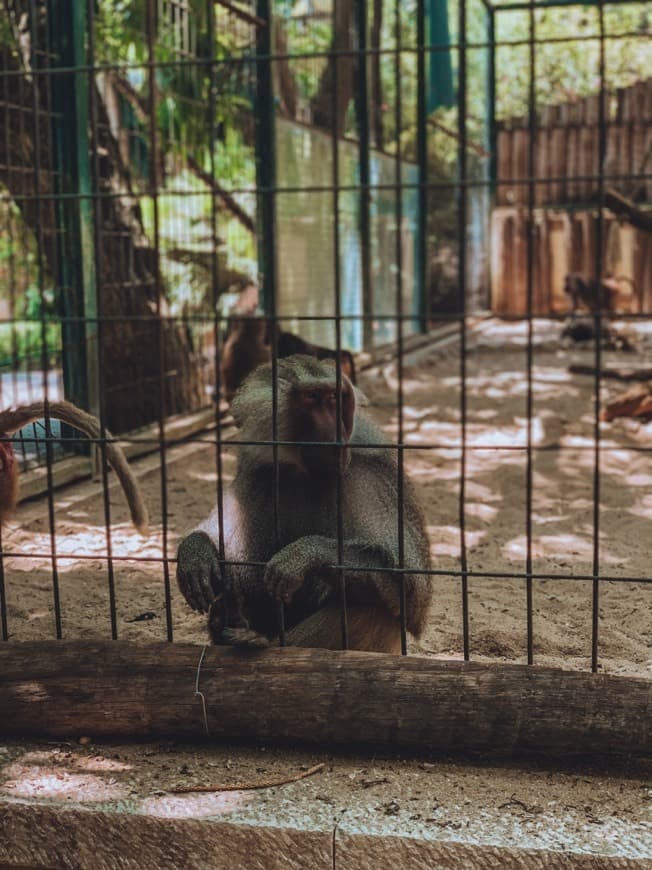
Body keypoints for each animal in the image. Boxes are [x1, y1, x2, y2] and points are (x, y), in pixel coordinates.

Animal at [178, 356, 432, 656]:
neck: (304, 472)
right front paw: (196, 552)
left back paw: (254, 639)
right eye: (312, 397)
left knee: (371, 606)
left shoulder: (369, 482)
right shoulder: (259, 475)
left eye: (335, 397)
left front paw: (304, 555)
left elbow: (411, 592)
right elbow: (221, 546)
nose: (336, 434)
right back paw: (229, 619)